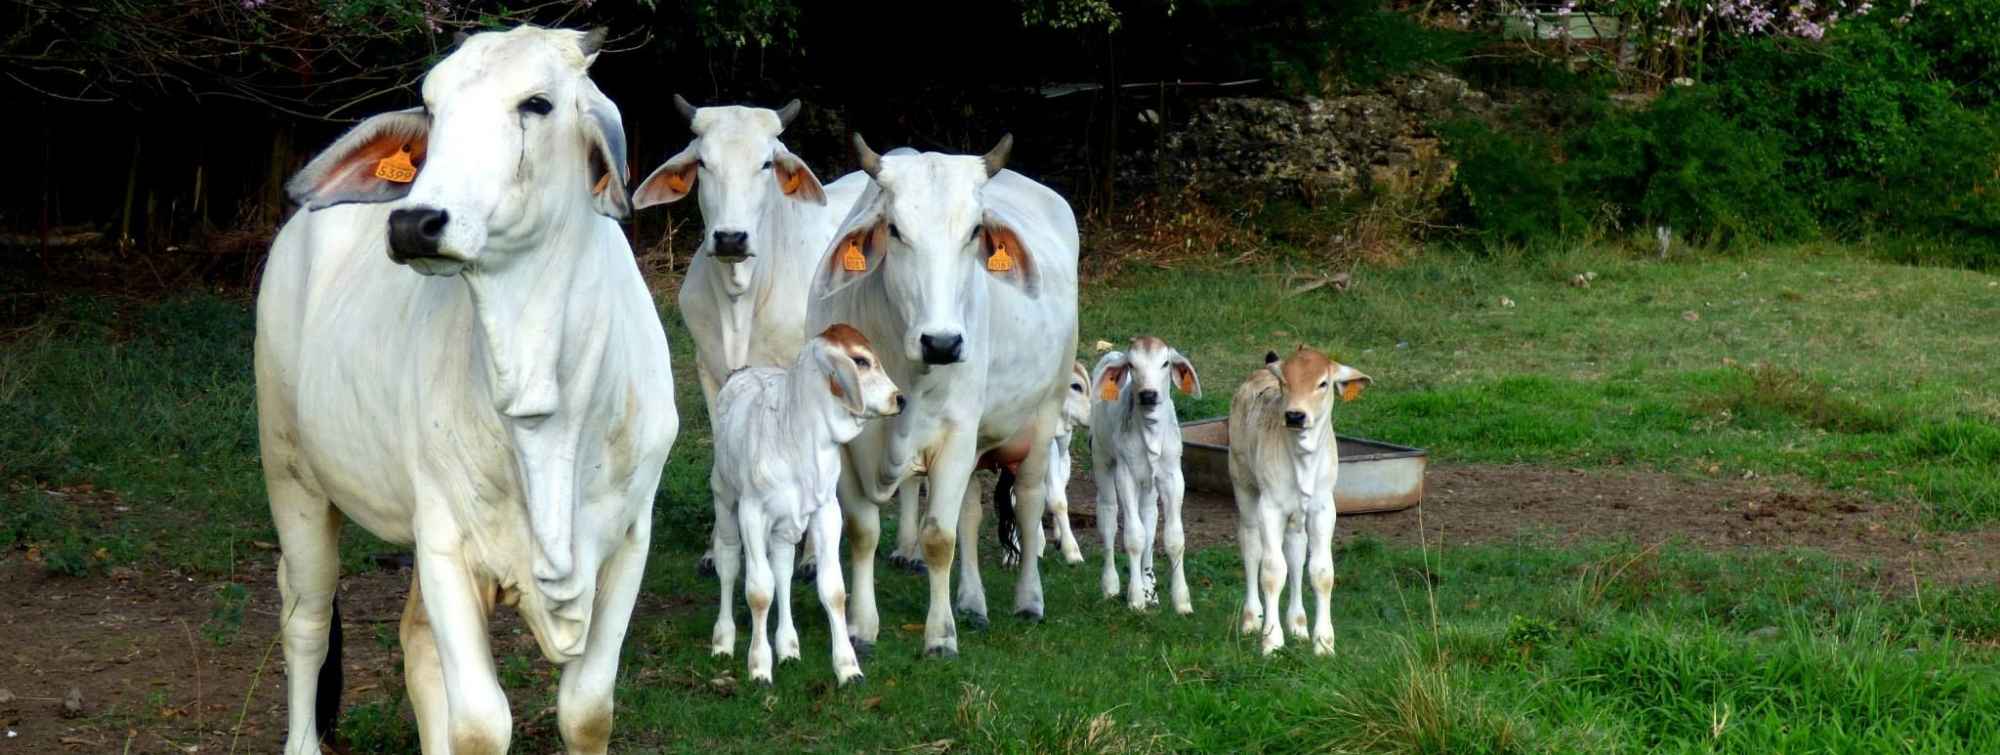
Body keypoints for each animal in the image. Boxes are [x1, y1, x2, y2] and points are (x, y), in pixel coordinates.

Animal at [256, 26, 677, 754]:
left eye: (537, 103)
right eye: (432, 105)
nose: (413, 222)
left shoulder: (630, 538)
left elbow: (587, 710)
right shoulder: (446, 542)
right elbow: (481, 722)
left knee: (415, 640)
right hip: (292, 473)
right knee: (304, 617)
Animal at [631, 95, 867, 581]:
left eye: (766, 163)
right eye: (703, 162)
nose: (730, 238)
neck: (741, 296)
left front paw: (811, 557)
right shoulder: (711, 372)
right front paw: (715, 549)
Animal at [810, 134, 1079, 657]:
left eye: (975, 231)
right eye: (895, 229)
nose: (942, 342)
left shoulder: (956, 435)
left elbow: (937, 537)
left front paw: (939, 634)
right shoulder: (848, 445)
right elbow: (863, 532)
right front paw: (861, 626)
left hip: (1043, 416)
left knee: (1030, 502)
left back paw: (1029, 600)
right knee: (972, 514)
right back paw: (972, 602)